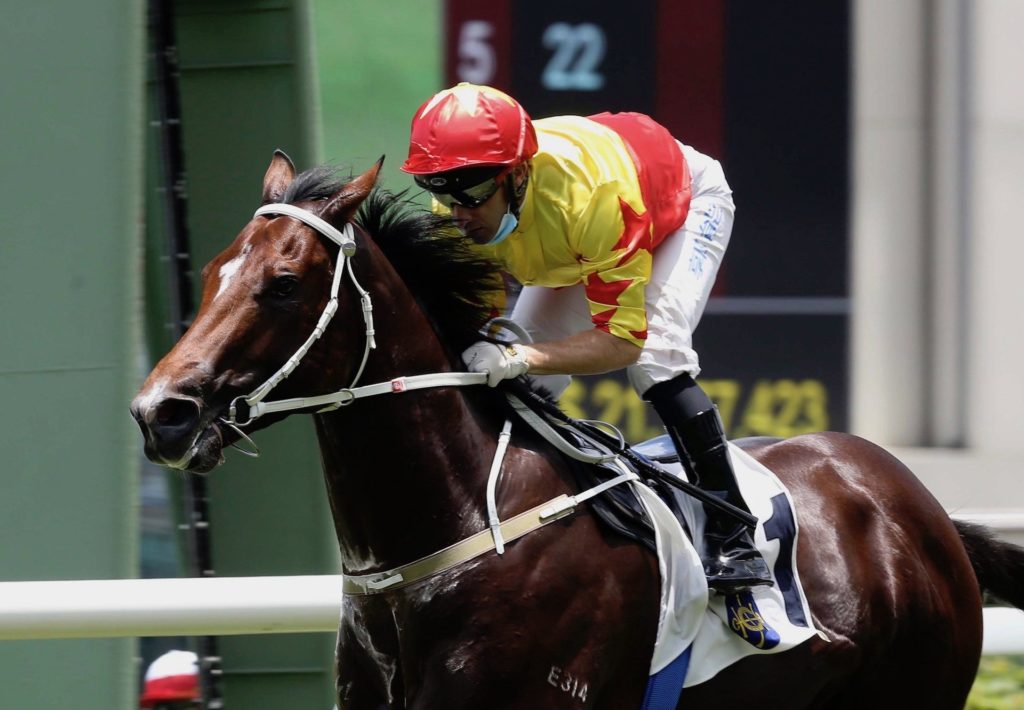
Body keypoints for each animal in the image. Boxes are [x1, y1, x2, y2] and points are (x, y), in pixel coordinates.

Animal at [132, 153, 1024, 708]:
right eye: (211, 270)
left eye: (282, 284)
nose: (160, 412)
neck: (449, 535)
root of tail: (918, 506)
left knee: (661, 360)